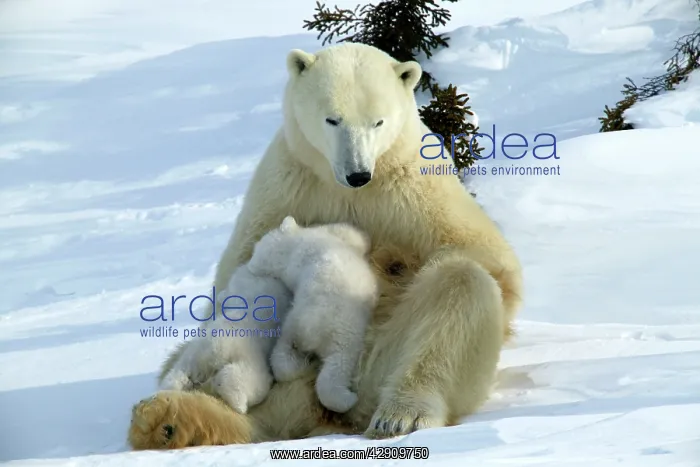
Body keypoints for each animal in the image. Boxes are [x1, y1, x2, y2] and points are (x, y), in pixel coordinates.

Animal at [247, 215, 378, 414]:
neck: (291, 250)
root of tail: (308, 333)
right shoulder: (333, 235)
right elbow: (352, 234)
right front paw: (366, 237)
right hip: (344, 329)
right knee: (338, 365)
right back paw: (347, 399)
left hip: (289, 328)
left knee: (282, 360)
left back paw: (302, 365)